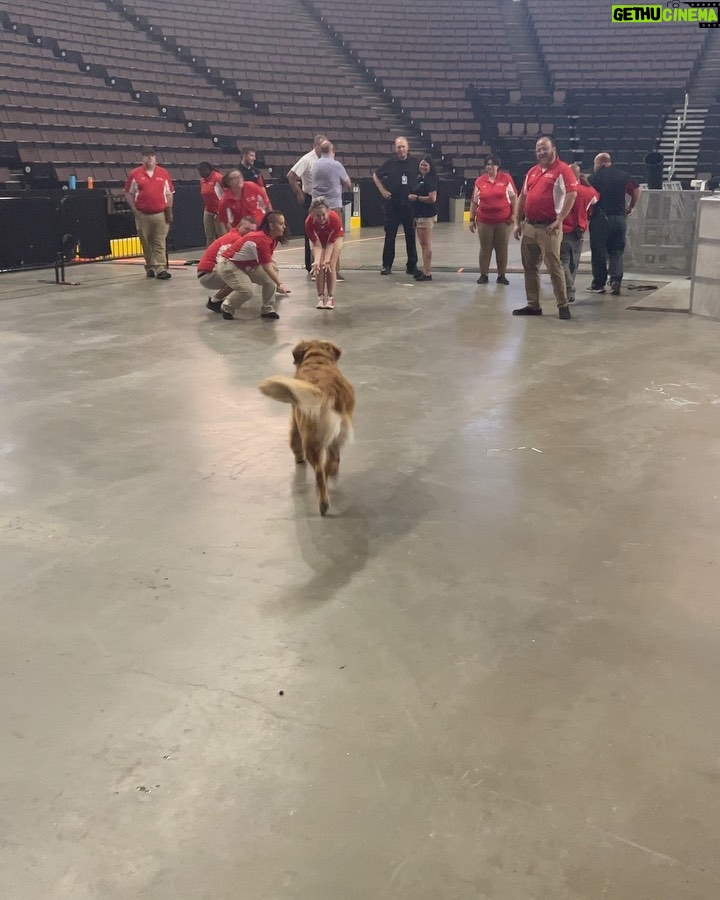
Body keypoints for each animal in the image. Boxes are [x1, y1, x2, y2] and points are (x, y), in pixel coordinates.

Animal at [262, 340, 358, 516]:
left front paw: (298, 458)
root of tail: (329, 394)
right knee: (332, 460)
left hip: (311, 441)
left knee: (319, 471)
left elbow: (294, 443)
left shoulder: (295, 420)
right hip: (335, 439)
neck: (317, 358)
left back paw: (323, 503)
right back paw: (330, 475)